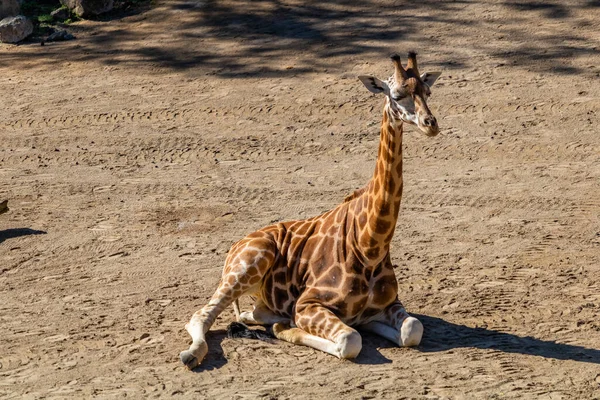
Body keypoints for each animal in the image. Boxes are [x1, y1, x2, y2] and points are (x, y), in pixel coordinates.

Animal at [178, 52, 440, 368]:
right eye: (398, 95)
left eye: (427, 92)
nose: (431, 124)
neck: (371, 244)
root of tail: (236, 243)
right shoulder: (308, 303)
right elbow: (350, 340)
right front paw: (287, 328)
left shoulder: (387, 304)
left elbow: (412, 328)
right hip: (249, 263)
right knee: (200, 315)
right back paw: (193, 353)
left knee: (250, 312)